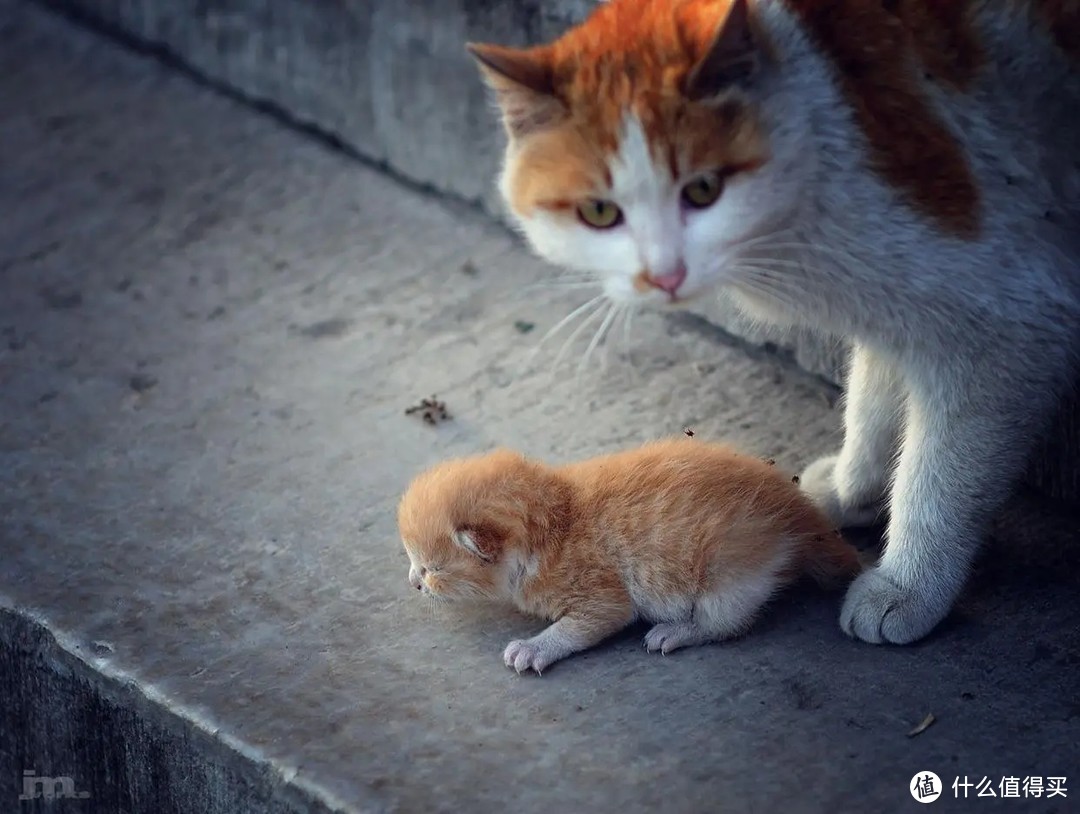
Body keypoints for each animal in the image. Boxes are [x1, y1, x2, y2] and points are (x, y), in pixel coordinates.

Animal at [397, 438, 859, 673]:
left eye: (433, 568)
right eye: (415, 564)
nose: (414, 582)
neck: (556, 523)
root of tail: (804, 518)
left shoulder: (601, 594)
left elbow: (584, 625)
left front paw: (535, 647)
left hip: (733, 572)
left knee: (726, 622)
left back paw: (678, 631)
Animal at [466, 1, 1080, 647]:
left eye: (704, 189)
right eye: (599, 212)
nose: (665, 275)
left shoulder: (1010, 314)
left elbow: (943, 470)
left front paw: (908, 585)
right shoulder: (894, 304)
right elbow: (875, 396)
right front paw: (853, 489)